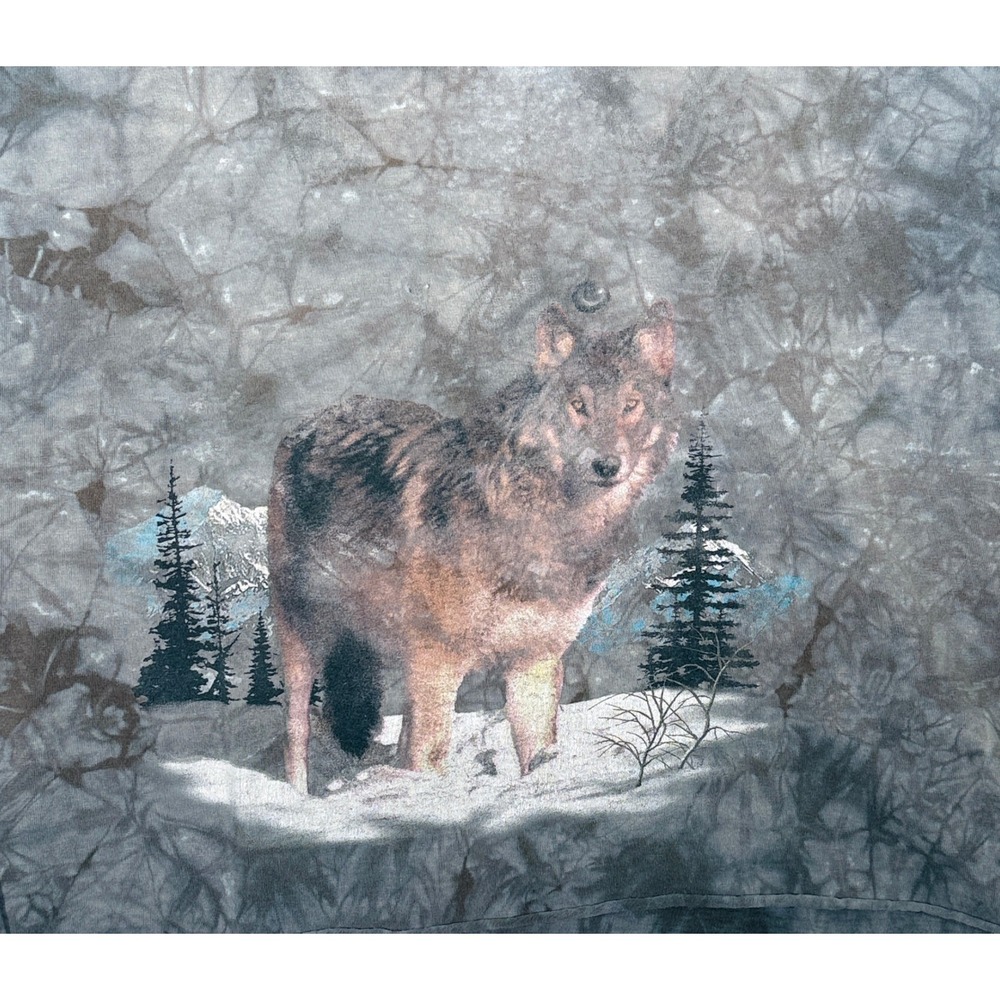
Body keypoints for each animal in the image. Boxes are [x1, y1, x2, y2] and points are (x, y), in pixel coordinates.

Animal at [268, 299, 678, 793]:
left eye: (630, 405)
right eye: (578, 406)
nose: (605, 465)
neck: (544, 527)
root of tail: (316, 418)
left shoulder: (534, 662)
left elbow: (536, 755)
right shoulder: (437, 658)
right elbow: (429, 757)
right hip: (303, 639)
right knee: (296, 734)